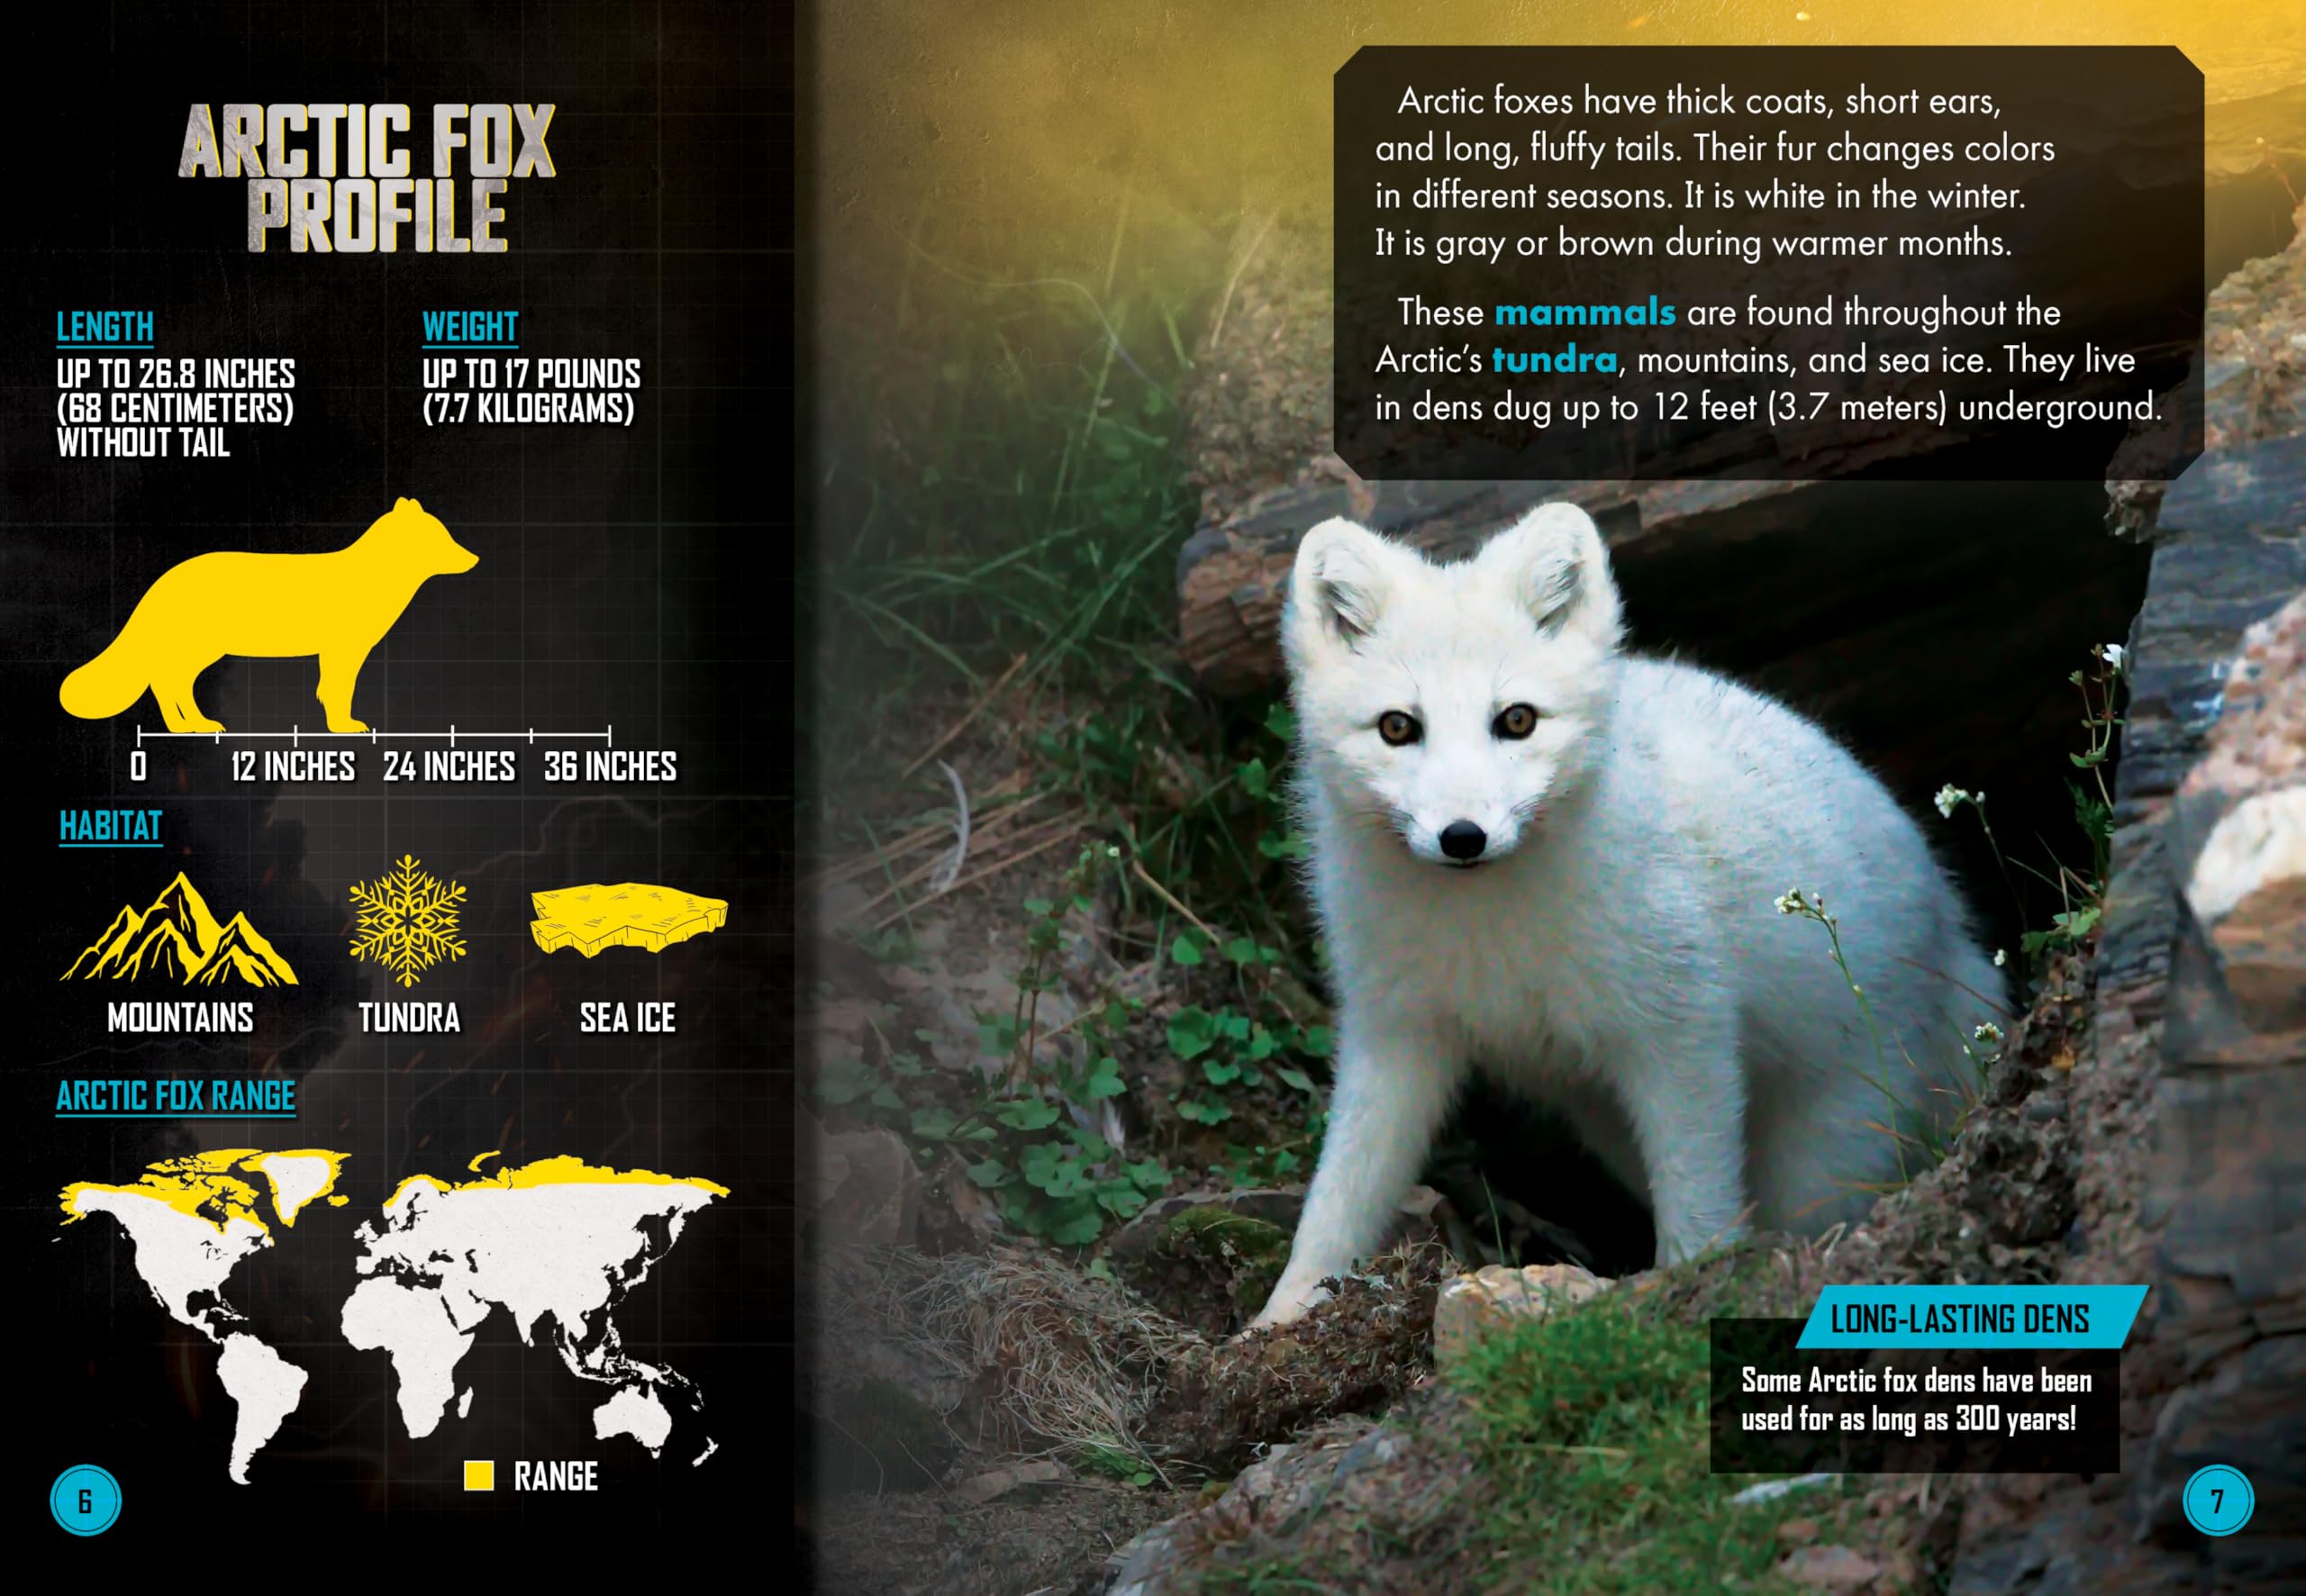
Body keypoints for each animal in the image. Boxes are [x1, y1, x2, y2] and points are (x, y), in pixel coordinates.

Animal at [60, 498, 478, 734]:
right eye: (443, 537)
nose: (475, 558)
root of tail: (165, 578)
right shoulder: (343, 651)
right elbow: (339, 691)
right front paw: (343, 727)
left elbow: (328, 690)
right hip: (201, 649)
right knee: (166, 681)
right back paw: (189, 726)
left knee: (169, 682)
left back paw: (189, 725)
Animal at [1250, 503, 2007, 1330]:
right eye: (1396, 728)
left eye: (1517, 720)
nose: (1463, 837)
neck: (1488, 928)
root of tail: (1951, 931)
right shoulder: (1395, 1034)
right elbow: (1341, 1194)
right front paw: (1277, 1322)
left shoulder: (1683, 1035)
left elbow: (1699, 1198)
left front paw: (1686, 1286)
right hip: (1606, 1117)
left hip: (1831, 1141)